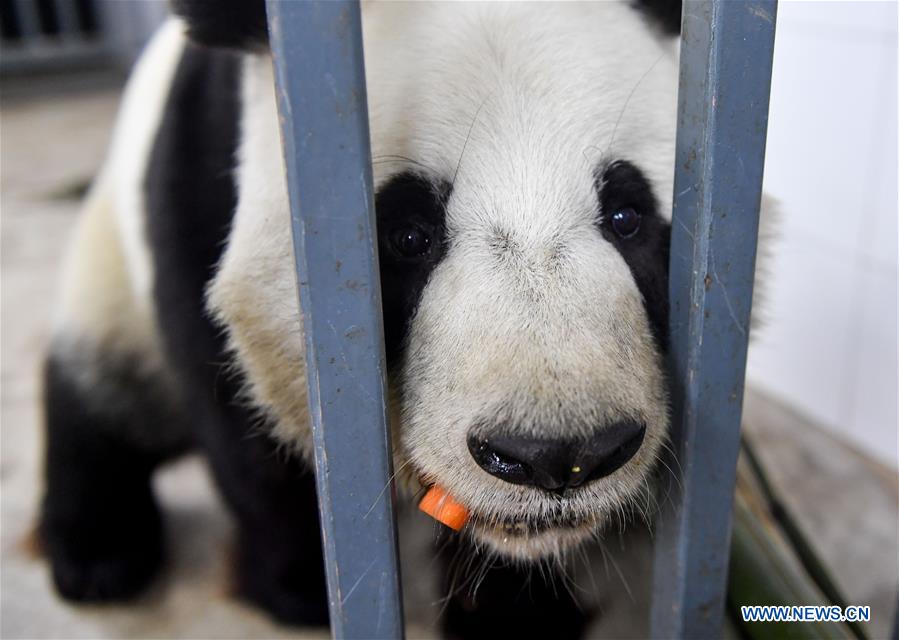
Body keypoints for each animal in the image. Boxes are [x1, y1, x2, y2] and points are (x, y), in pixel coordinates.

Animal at [38, 1, 728, 636]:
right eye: (406, 235)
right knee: (105, 387)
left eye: (626, 216)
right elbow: (239, 419)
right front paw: (304, 590)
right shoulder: (201, 188)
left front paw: (515, 612)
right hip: (112, 263)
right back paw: (98, 556)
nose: (559, 456)